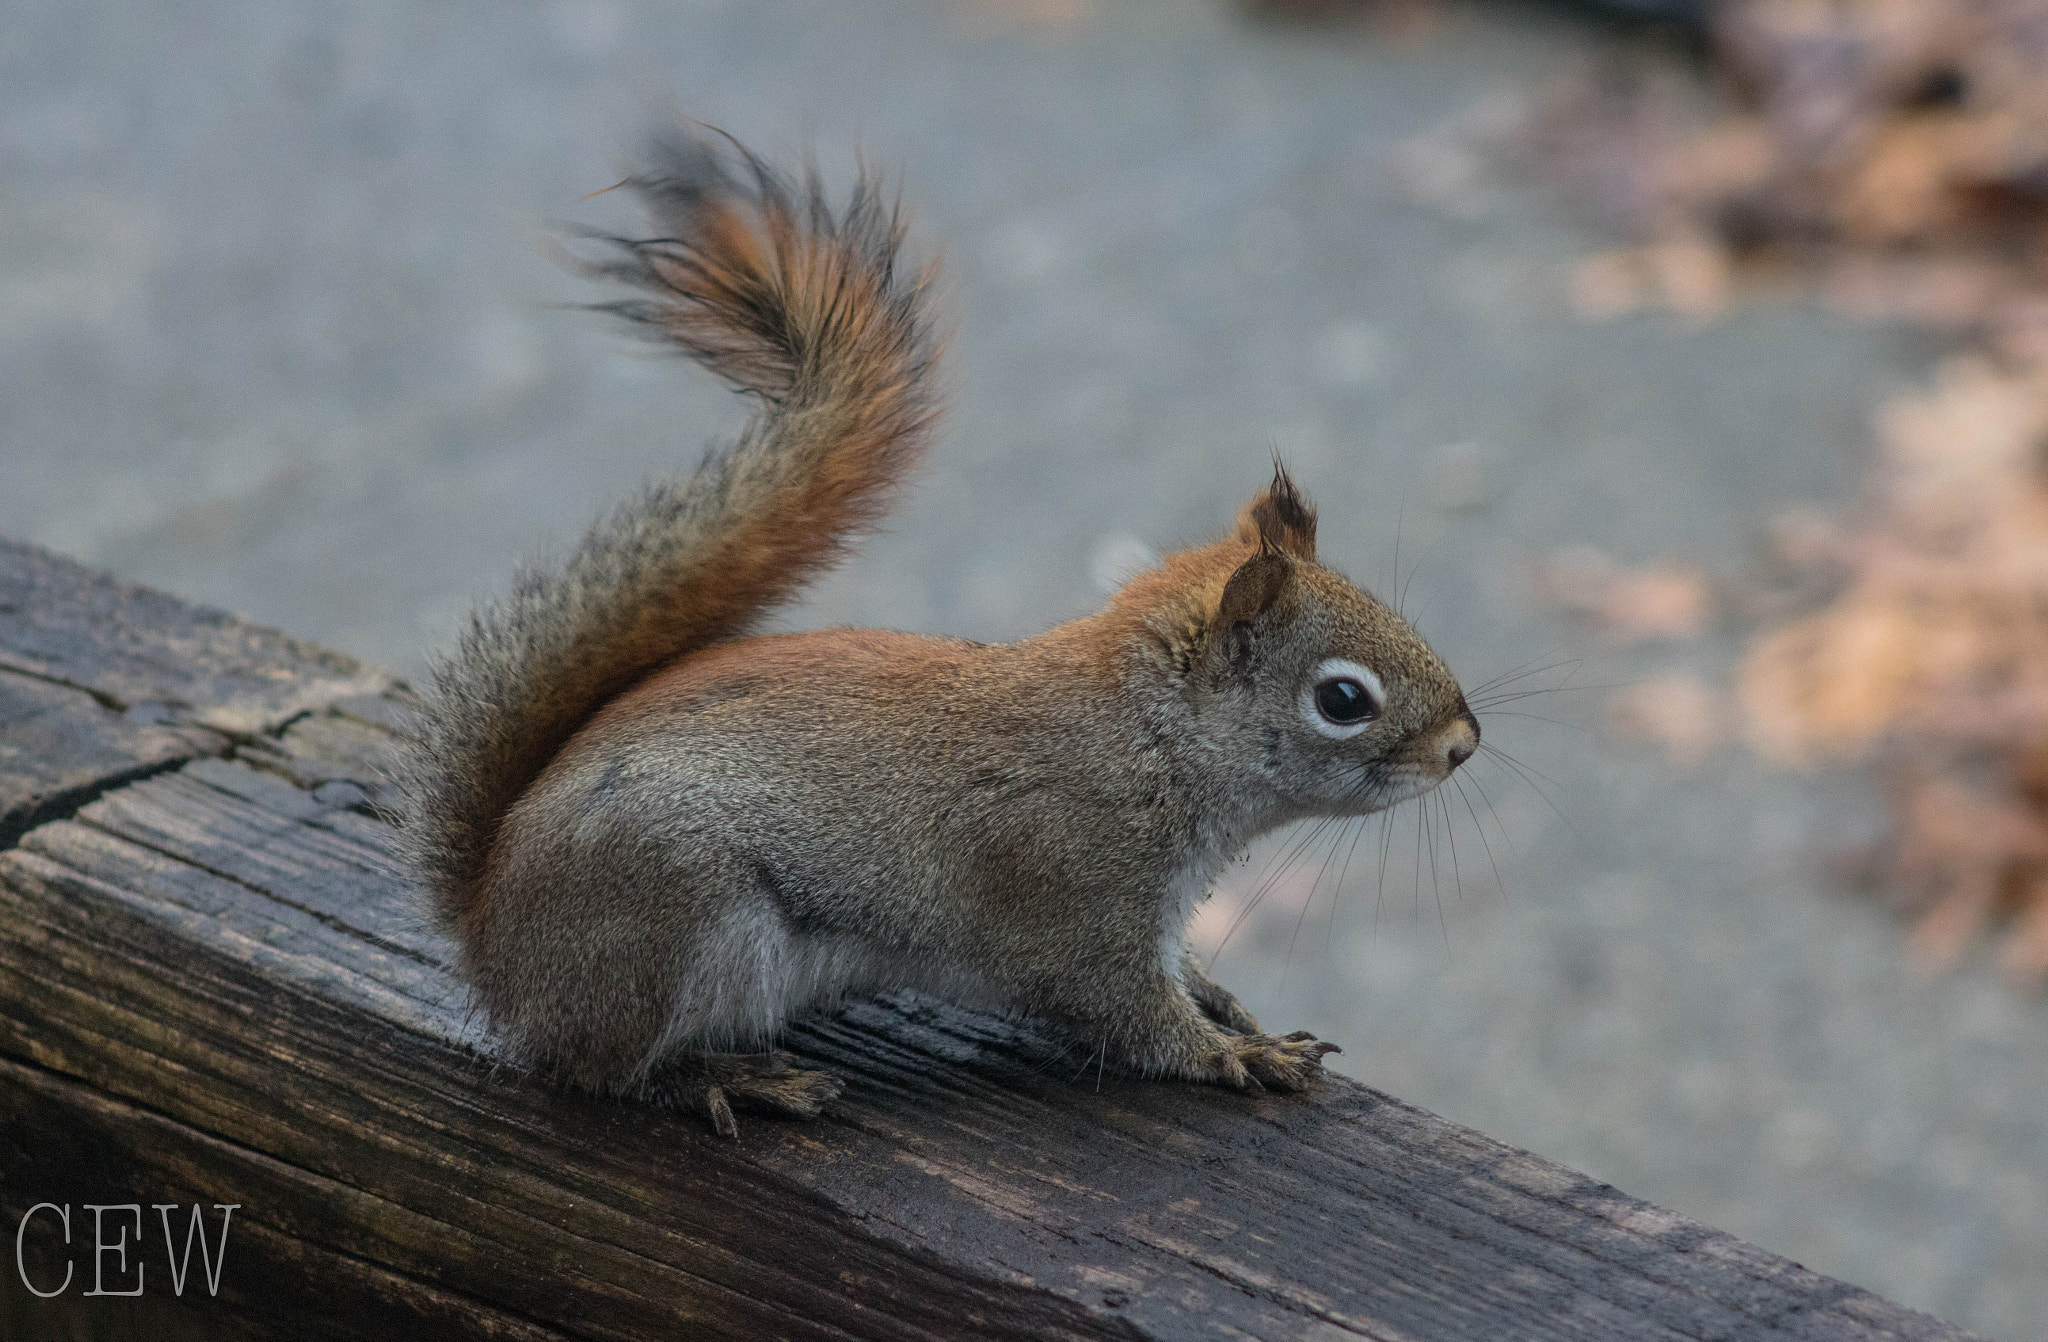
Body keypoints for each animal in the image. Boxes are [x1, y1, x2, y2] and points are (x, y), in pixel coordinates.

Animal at [399, 126, 1482, 1139]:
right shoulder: (1072, 895)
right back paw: (725, 1077)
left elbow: (1178, 975)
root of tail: (492, 936)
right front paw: (1231, 1055)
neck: (1147, 735)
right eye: (1342, 699)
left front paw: (1225, 1003)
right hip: (676, 927)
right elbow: (1125, 1014)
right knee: (601, 1067)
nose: (1463, 744)